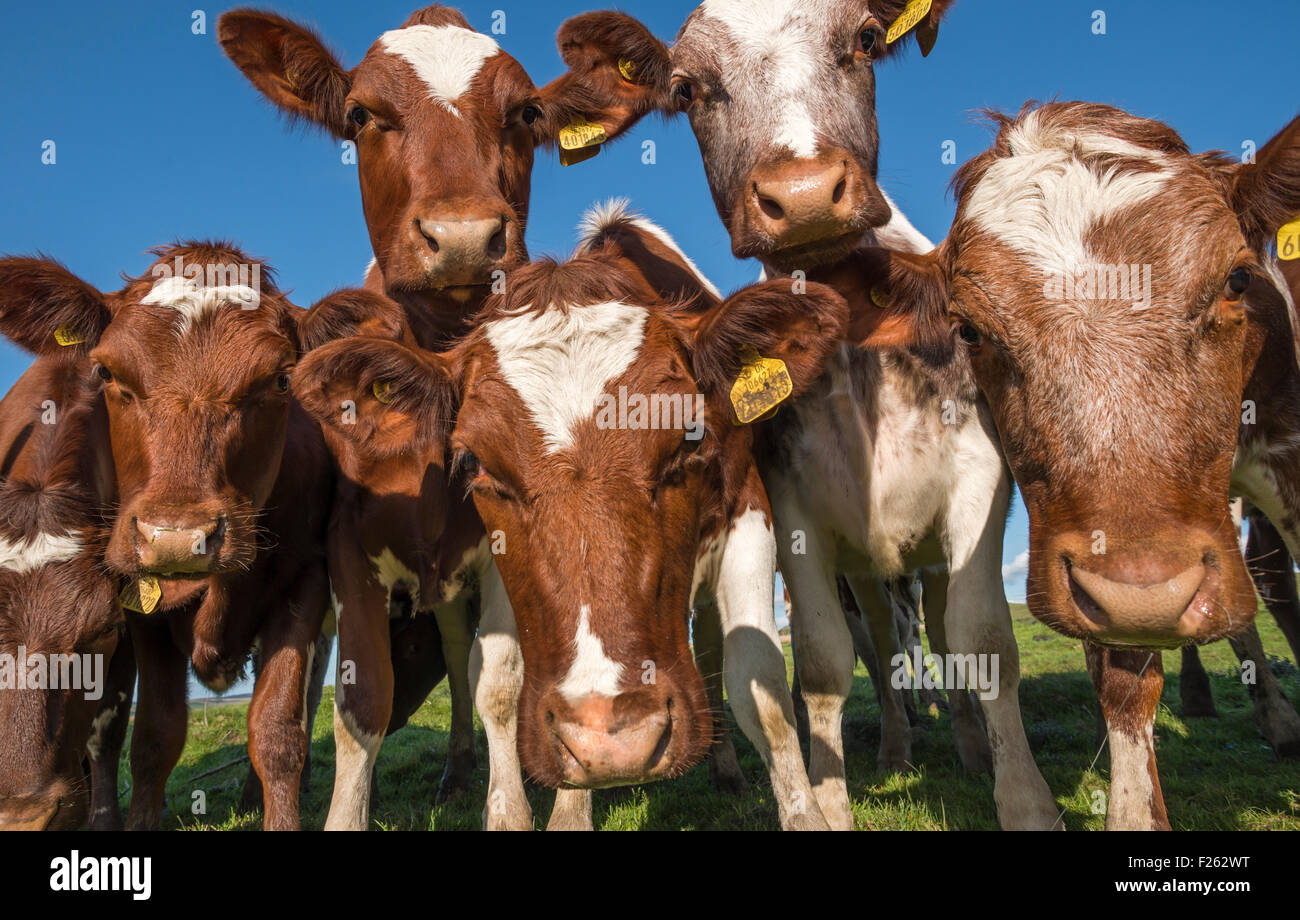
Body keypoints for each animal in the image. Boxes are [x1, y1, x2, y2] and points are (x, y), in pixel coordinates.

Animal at [0, 240, 400, 831]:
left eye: (281, 379)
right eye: (106, 372)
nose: (175, 536)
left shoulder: (304, 580)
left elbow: (278, 731)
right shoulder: (141, 611)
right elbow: (153, 737)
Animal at [533, 0, 1060, 831]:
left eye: (866, 40)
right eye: (687, 89)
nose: (805, 191)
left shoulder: (979, 485)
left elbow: (982, 642)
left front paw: (1026, 800)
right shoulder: (795, 513)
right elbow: (820, 664)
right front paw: (831, 799)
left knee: (941, 637)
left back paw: (971, 750)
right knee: (882, 645)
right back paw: (898, 751)